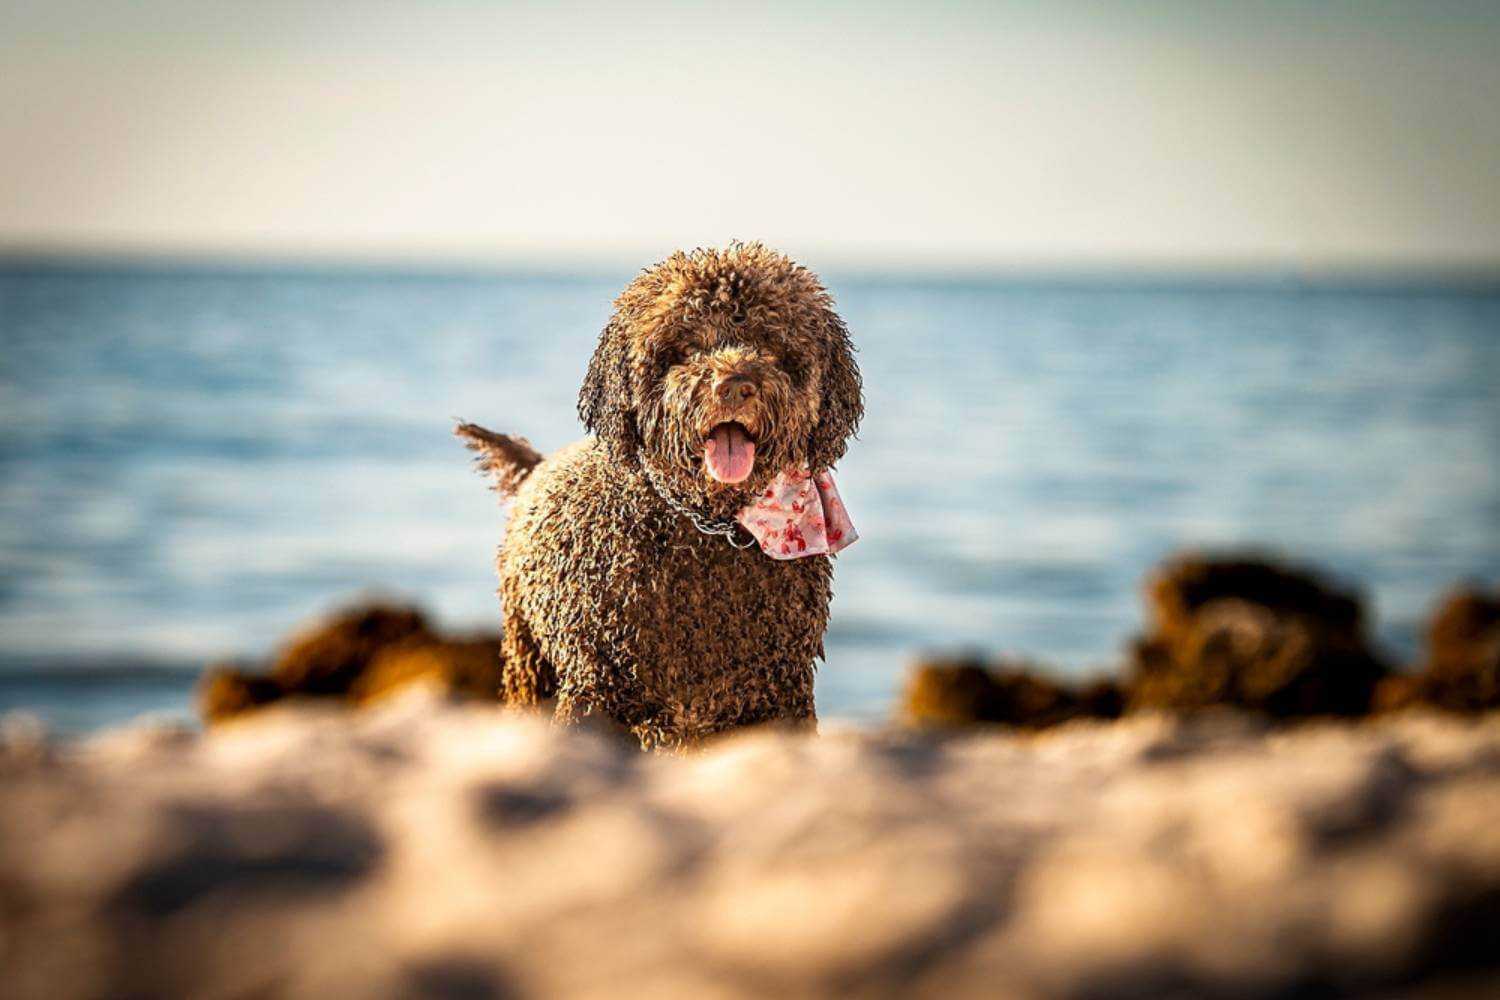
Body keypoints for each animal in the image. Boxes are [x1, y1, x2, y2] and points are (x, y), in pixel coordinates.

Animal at [456, 242, 864, 746]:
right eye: (686, 348)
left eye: (771, 345)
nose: (735, 385)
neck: (707, 528)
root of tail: (538, 465)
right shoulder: (597, 688)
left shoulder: (780, 692)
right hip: (527, 655)